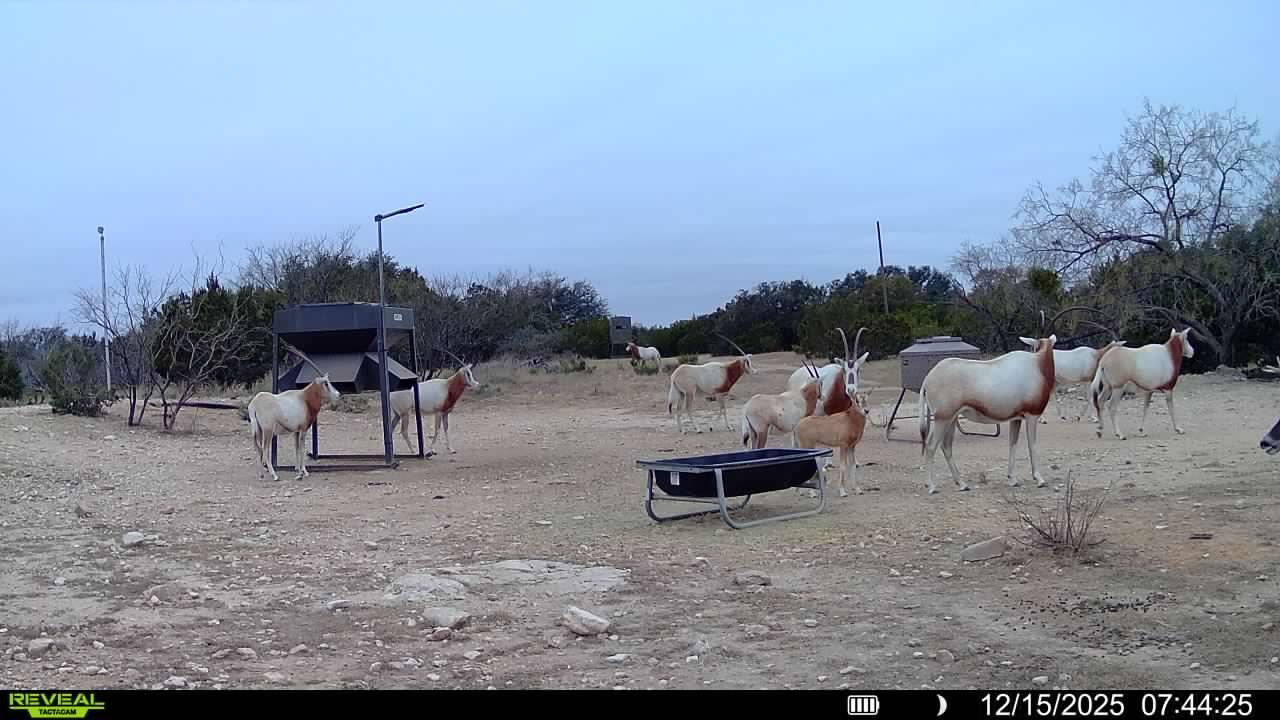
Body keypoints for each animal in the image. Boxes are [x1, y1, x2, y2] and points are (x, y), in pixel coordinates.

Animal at [247, 345, 341, 481]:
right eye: (326, 383)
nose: (338, 394)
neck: (305, 398)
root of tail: (254, 404)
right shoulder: (303, 429)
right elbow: (301, 448)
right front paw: (303, 472)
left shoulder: (295, 431)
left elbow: (296, 448)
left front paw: (298, 469)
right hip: (268, 431)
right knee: (265, 449)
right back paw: (274, 475)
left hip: (258, 431)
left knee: (258, 448)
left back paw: (261, 474)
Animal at [918, 335, 1057, 494]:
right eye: (1034, 347)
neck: (1037, 364)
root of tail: (927, 379)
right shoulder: (1032, 416)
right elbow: (1032, 445)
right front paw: (1039, 479)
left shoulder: (1016, 419)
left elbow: (1012, 444)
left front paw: (1012, 479)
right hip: (942, 419)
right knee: (931, 446)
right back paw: (931, 486)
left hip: (951, 419)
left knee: (946, 446)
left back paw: (962, 484)